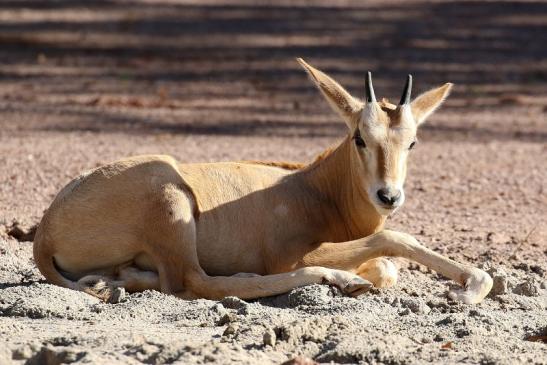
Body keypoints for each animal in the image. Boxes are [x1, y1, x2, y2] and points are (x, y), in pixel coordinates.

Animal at [34, 59, 496, 304]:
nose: (388, 196)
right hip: (170, 195)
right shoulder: (291, 254)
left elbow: (386, 266)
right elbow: (393, 240)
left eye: (412, 141)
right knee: (192, 282)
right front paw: (469, 288)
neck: (315, 187)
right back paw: (337, 279)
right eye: (359, 137)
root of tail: (45, 232)